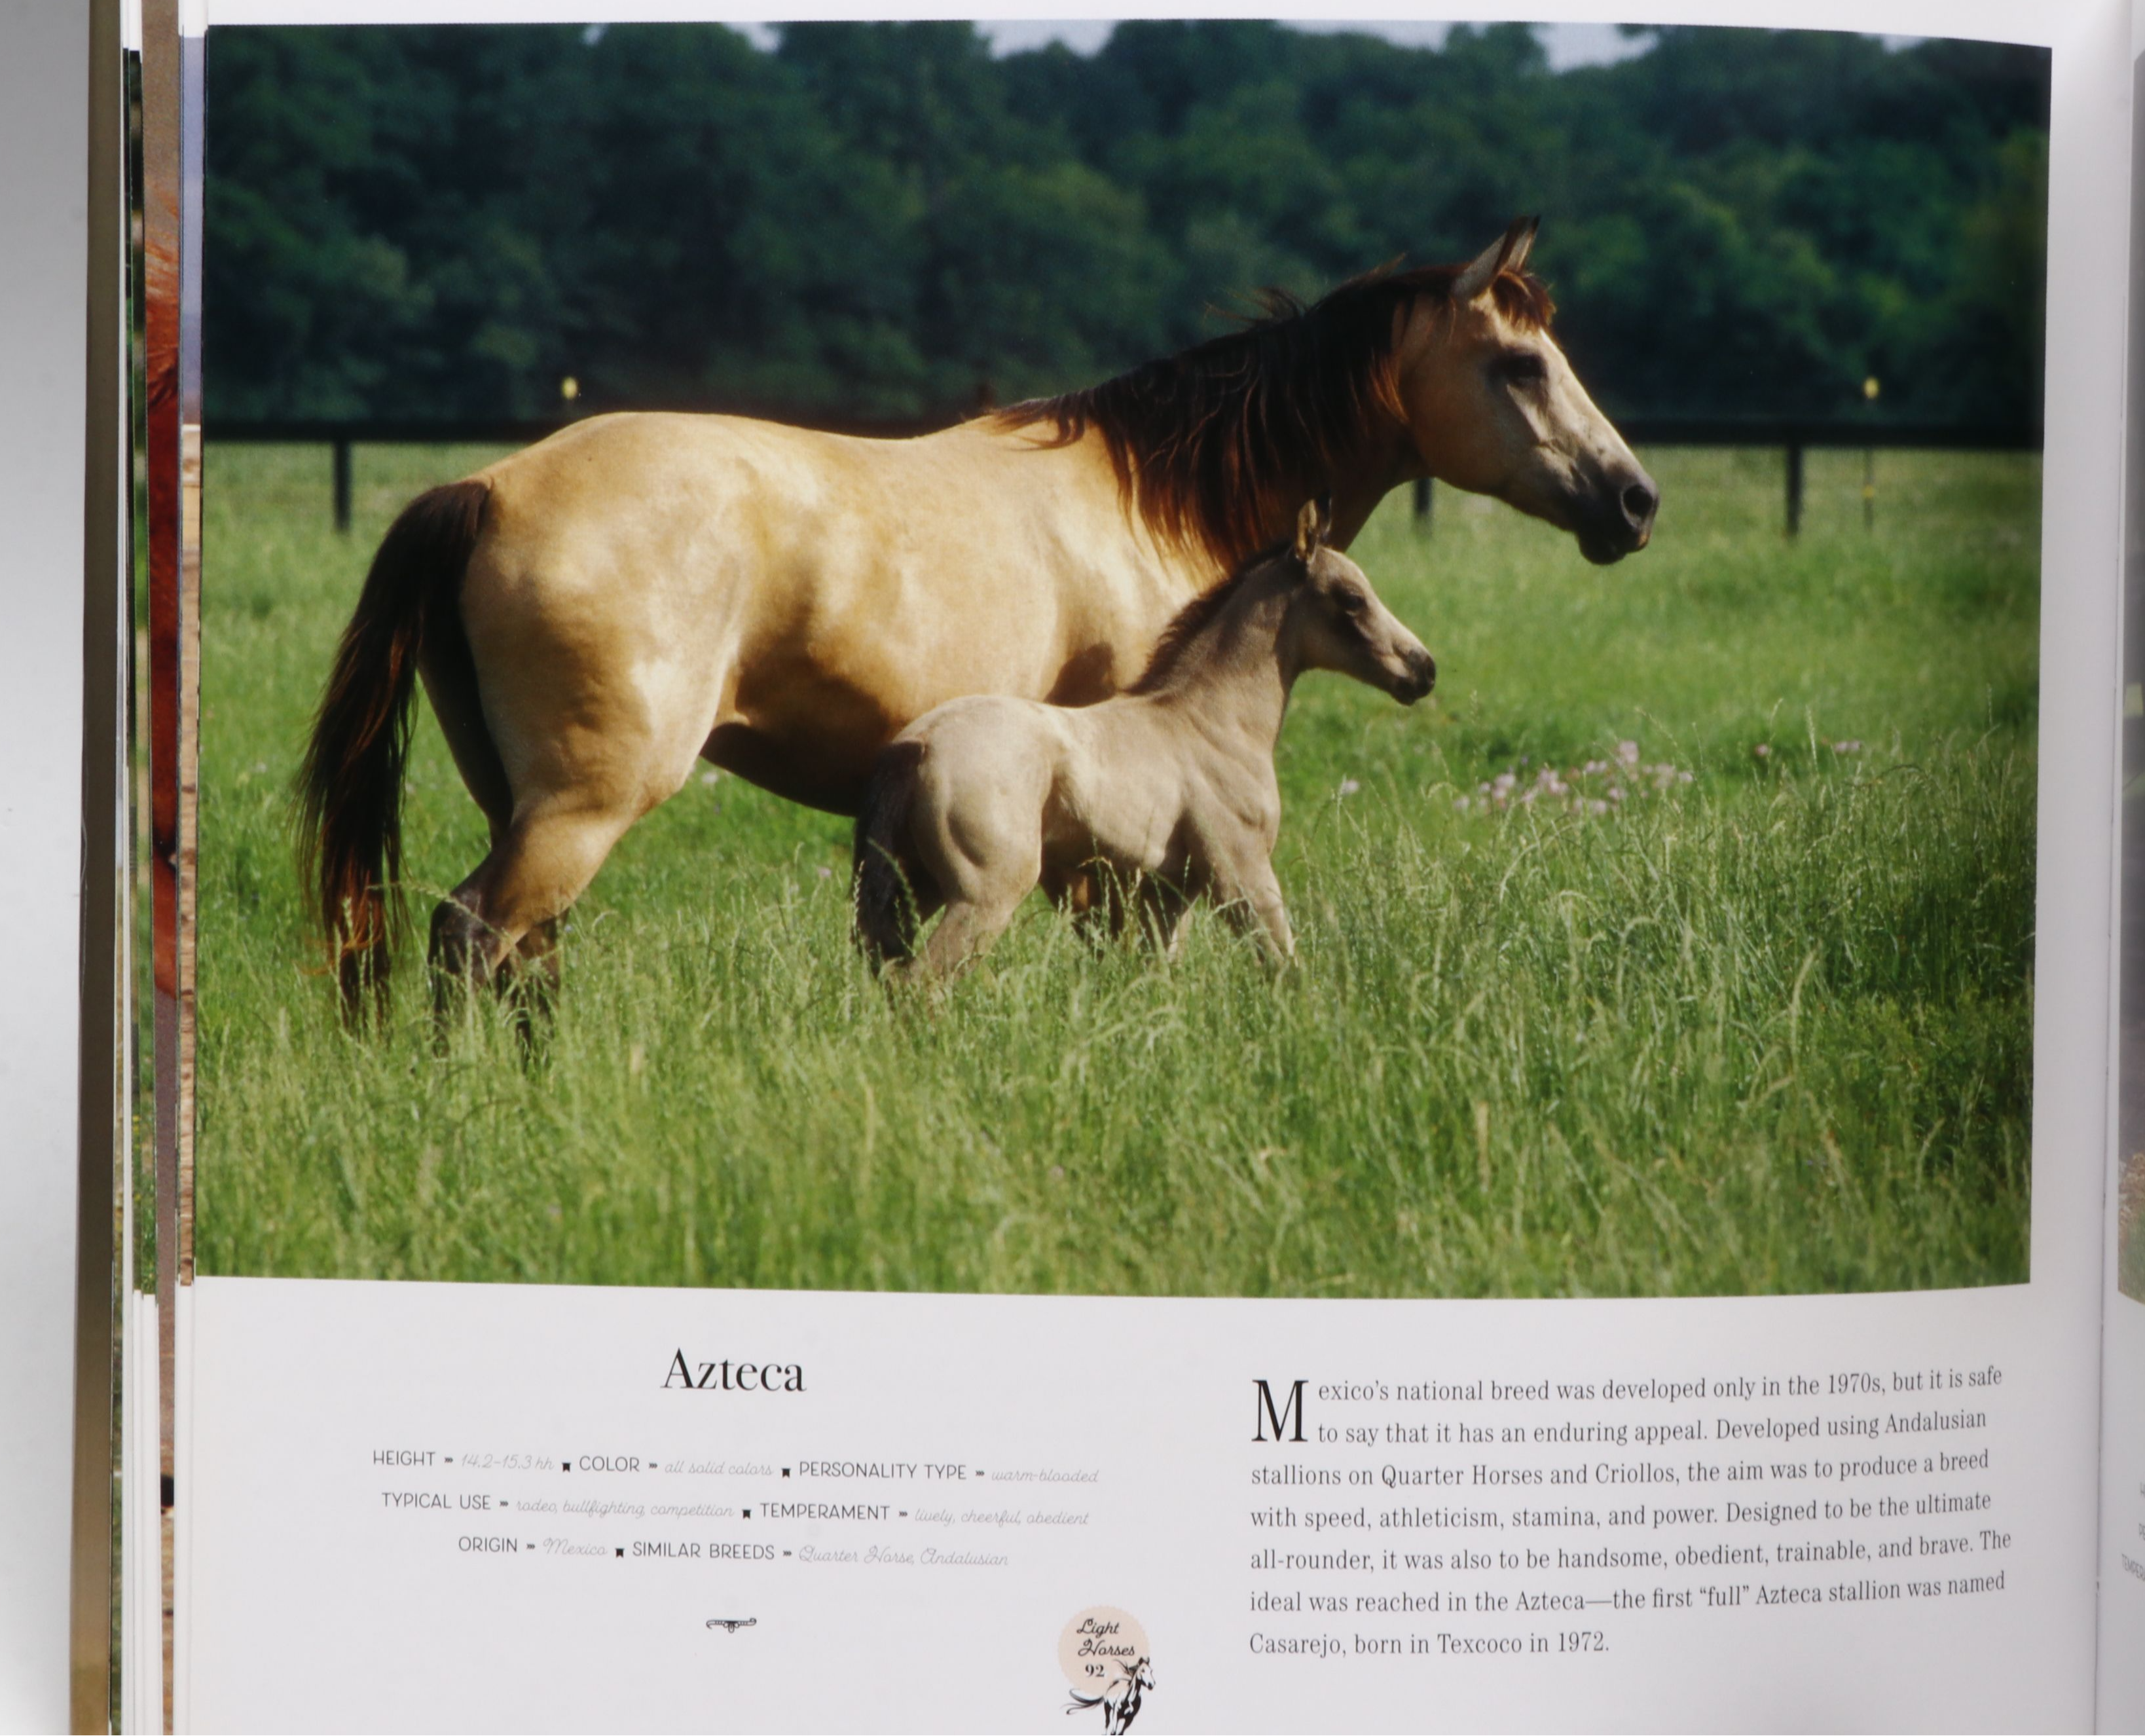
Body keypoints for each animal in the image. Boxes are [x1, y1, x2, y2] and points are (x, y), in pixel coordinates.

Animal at [853, 500, 1432, 976]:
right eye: (1352, 598)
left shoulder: (1169, 892)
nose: (1424, 669)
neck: (1209, 723)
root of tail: (918, 744)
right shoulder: (1240, 870)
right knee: (920, 983)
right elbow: (1284, 965)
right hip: (984, 893)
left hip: (920, 885)